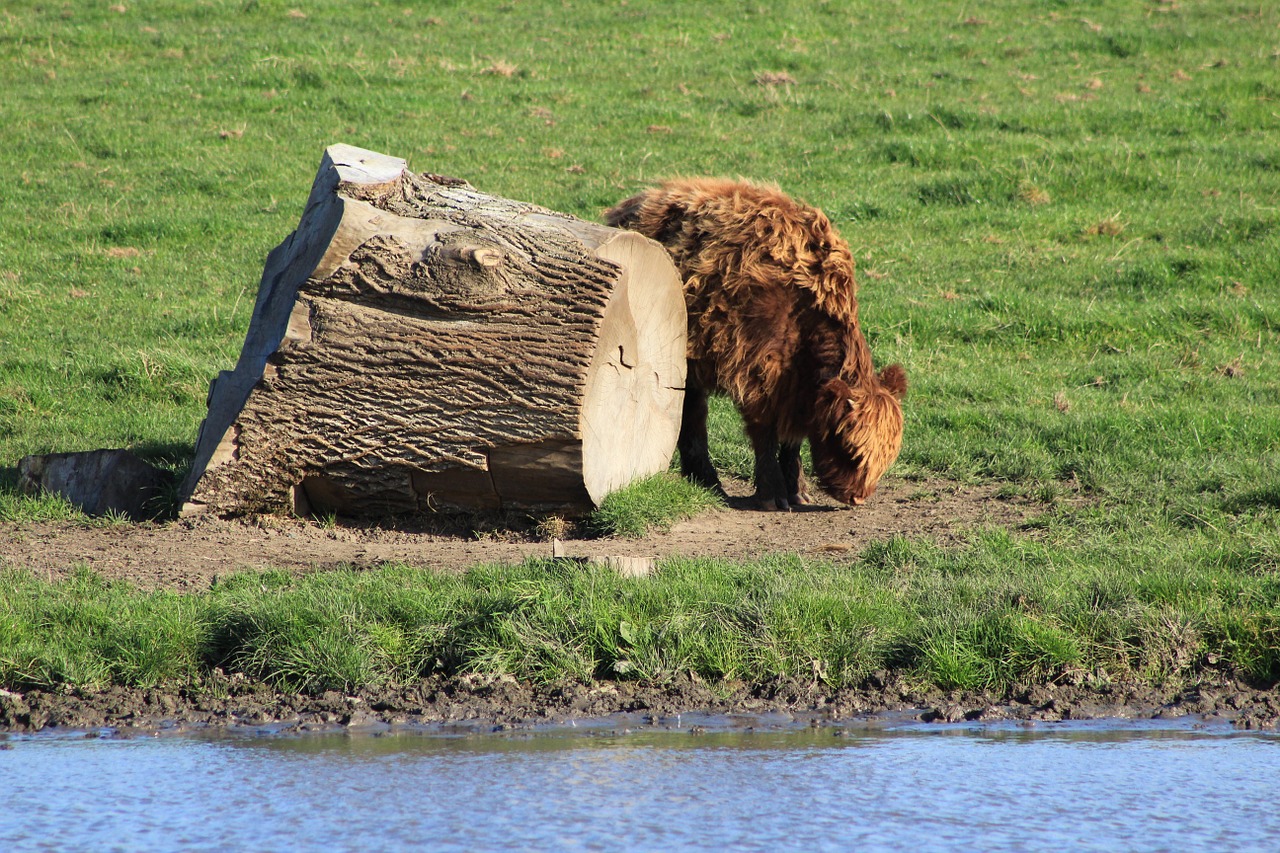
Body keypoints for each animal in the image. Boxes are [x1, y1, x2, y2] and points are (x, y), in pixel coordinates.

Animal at [604, 176, 906, 507]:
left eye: (886, 458)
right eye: (850, 450)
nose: (858, 497)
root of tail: (633, 206)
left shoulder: (792, 387)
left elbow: (791, 440)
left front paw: (797, 489)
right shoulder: (756, 372)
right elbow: (765, 434)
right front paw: (773, 494)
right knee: (694, 415)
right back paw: (709, 480)